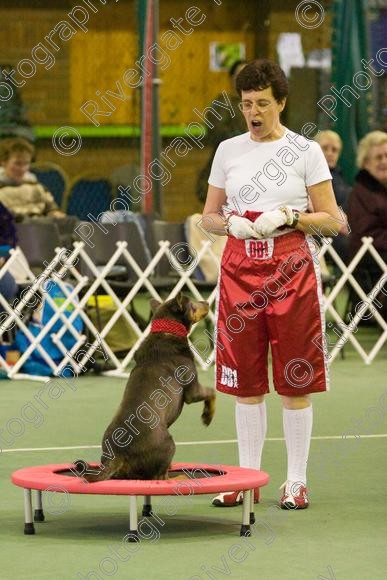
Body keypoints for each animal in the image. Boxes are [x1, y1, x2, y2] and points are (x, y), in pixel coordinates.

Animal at [74, 294, 217, 480]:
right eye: (192, 304)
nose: (206, 302)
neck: (167, 331)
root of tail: (118, 454)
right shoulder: (192, 391)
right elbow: (212, 392)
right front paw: (208, 416)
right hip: (169, 444)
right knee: (159, 477)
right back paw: (180, 477)